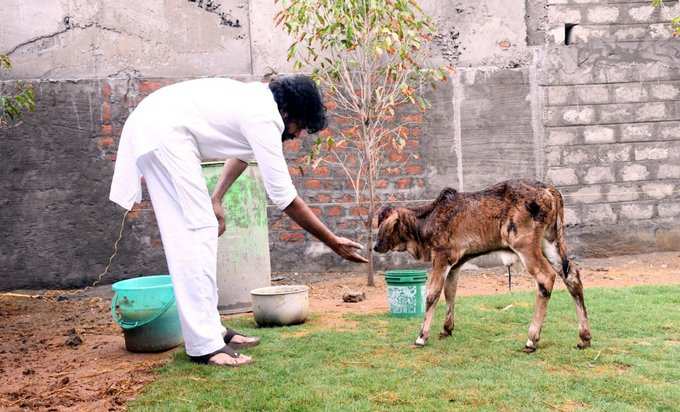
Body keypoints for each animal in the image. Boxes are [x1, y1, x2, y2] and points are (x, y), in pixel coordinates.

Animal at [374, 179, 592, 352]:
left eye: (385, 227)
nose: (376, 246)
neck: (427, 220)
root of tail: (549, 190)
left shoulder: (442, 257)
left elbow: (432, 294)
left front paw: (421, 337)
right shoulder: (455, 265)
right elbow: (450, 293)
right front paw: (446, 329)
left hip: (525, 245)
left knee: (545, 277)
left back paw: (531, 340)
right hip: (551, 242)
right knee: (572, 276)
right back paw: (584, 338)